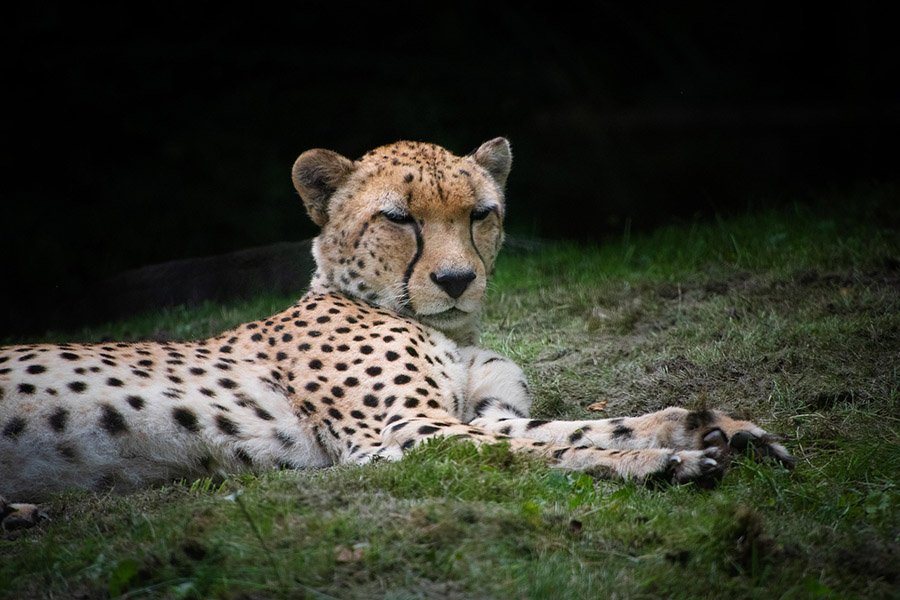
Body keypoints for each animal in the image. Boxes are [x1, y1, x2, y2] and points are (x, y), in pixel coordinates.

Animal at [0, 138, 793, 531]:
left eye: (480, 213)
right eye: (398, 217)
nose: (456, 280)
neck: (451, 331)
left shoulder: (475, 414)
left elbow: (572, 427)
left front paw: (713, 427)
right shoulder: (402, 433)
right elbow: (541, 449)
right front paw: (658, 463)